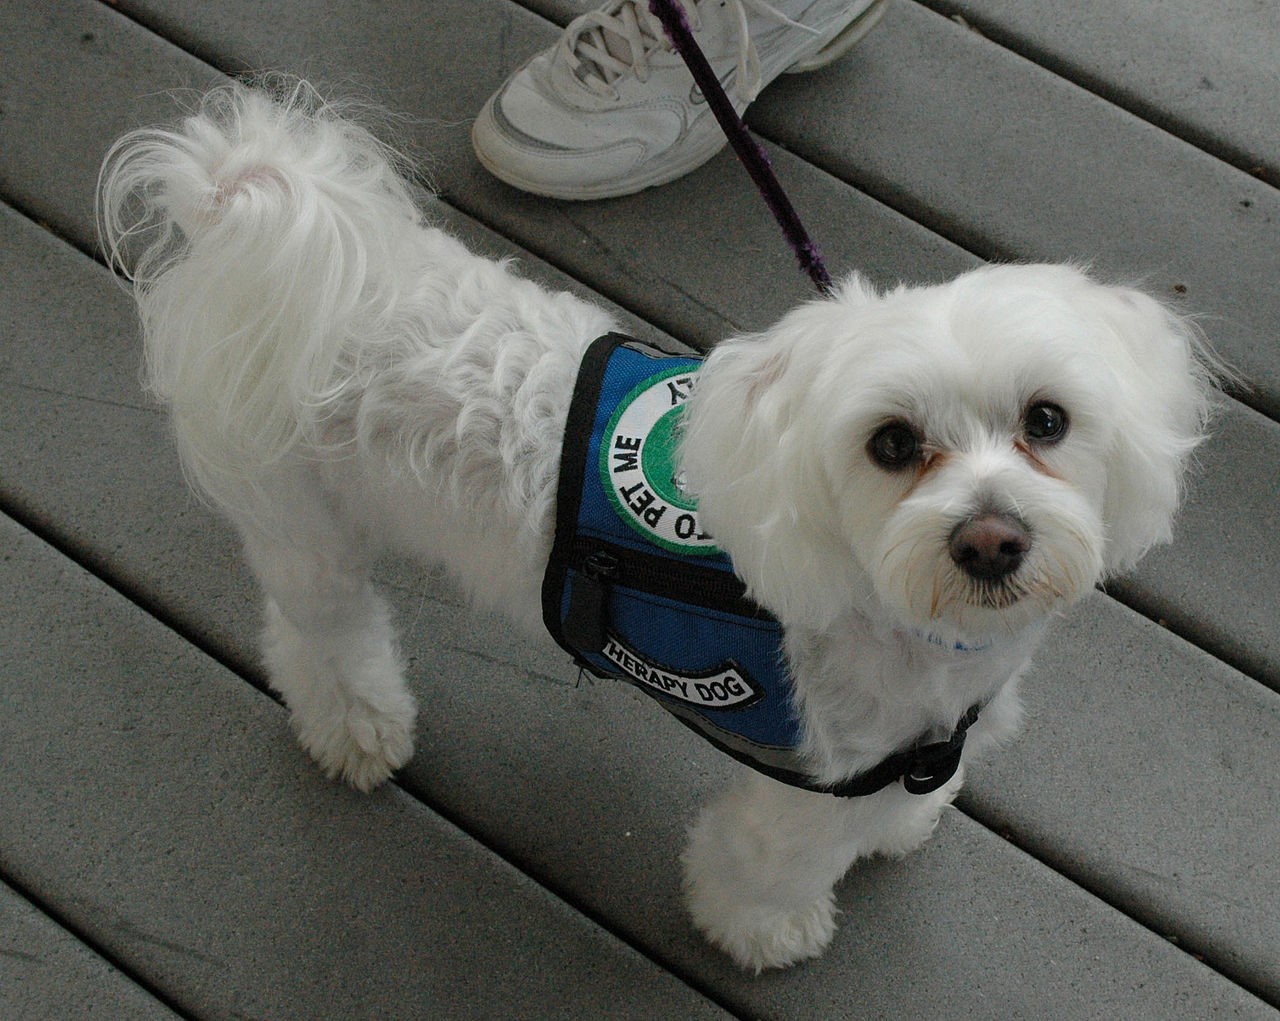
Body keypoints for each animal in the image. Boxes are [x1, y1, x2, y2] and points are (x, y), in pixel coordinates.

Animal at [102, 79, 1218, 977]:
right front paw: (765, 931)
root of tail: (252, 209)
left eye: (1046, 420)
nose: (989, 539)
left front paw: (901, 824)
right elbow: (765, 868)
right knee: (318, 635)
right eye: (892, 444)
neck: (915, 632)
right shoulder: (799, 791)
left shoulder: (908, 746)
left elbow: (896, 801)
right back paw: (357, 726)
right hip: (305, 523)